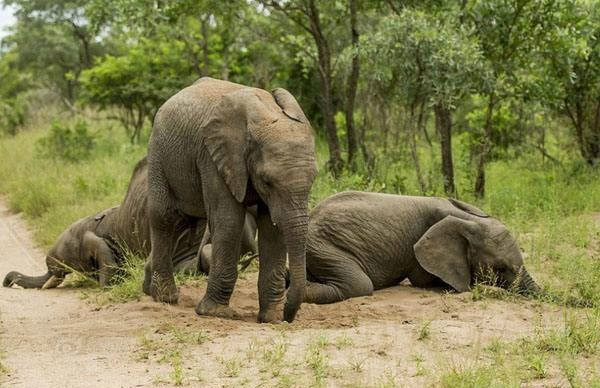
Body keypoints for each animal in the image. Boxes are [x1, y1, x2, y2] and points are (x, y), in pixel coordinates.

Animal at [145, 77, 316, 322]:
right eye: (267, 182)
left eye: (313, 180)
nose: (287, 317)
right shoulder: (213, 156)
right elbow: (229, 221)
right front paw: (215, 313)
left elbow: (273, 229)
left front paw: (271, 318)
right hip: (158, 152)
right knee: (164, 217)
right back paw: (165, 298)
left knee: (185, 221)